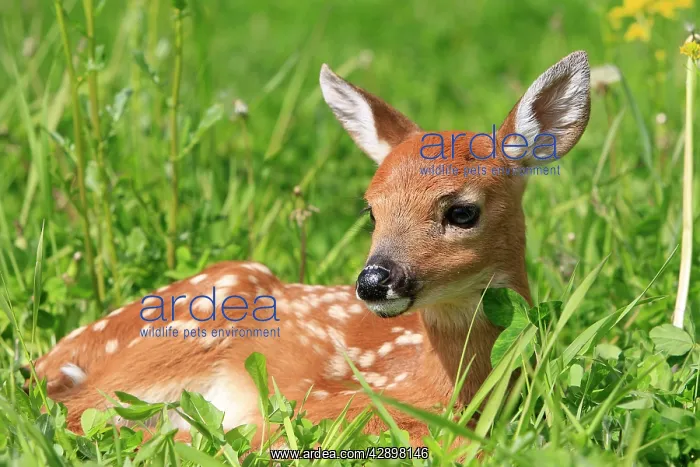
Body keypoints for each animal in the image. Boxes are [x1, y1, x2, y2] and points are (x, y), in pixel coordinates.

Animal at [32, 51, 590, 446]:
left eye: (462, 212)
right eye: (371, 210)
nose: (374, 280)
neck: (432, 390)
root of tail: (51, 359)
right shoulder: (316, 406)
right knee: (77, 411)